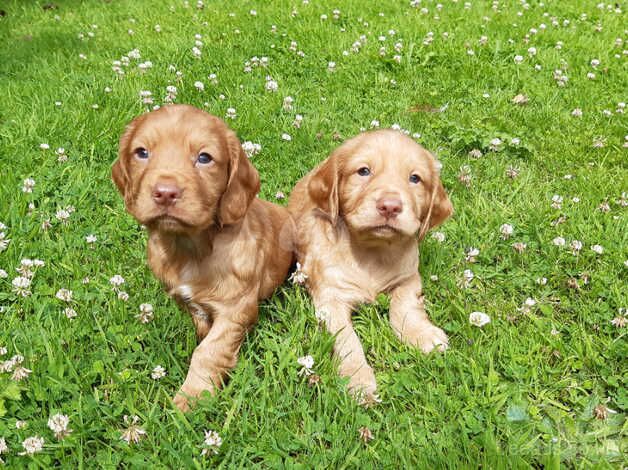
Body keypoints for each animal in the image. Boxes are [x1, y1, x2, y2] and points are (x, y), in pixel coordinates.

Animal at [112, 104, 294, 410]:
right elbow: (201, 330)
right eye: (142, 152)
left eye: (204, 158)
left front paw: (191, 397)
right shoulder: (187, 300)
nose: (165, 193)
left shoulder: (237, 308)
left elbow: (208, 351)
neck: (190, 247)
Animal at [288, 129, 454, 400]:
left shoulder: (409, 278)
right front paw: (358, 379)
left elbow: (405, 306)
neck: (372, 251)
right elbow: (347, 340)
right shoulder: (330, 299)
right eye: (363, 171)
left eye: (415, 178)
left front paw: (422, 335)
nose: (390, 206)